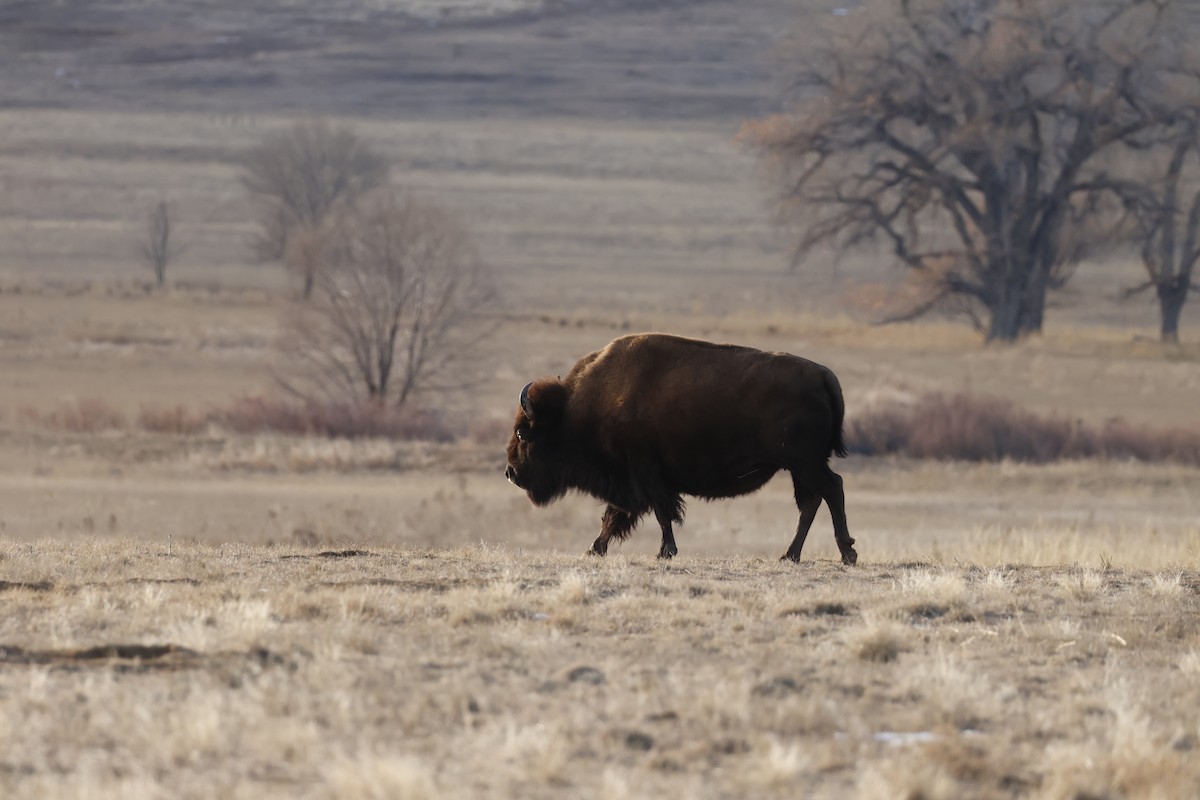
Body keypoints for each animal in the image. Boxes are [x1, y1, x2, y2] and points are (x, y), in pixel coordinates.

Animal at [504, 333, 856, 564]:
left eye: (523, 433)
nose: (510, 472)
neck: (576, 409)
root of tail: (824, 375)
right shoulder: (633, 479)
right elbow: (615, 516)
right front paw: (594, 549)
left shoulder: (644, 473)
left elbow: (659, 513)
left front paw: (665, 552)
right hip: (799, 467)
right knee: (811, 502)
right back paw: (790, 555)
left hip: (805, 463)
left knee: (831, 489)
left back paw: (846, 553)